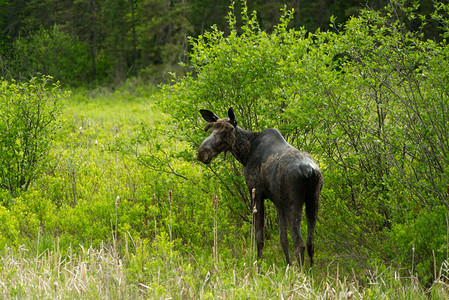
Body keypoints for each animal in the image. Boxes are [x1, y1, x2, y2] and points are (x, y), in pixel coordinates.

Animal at [196, 108, 322, 268]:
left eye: (226, 132)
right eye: (212, 129)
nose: (201, 153)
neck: (246, 153)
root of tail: (310, 171)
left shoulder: (256, 193)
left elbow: (259, 237)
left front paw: (258, 265)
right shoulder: (279, 203)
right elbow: (283, 239)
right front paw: (288, 266)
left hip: (295, 203)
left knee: (299, 244)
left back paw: (301, 272)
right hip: (313, 200)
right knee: (310, 242)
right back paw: (310, 271)